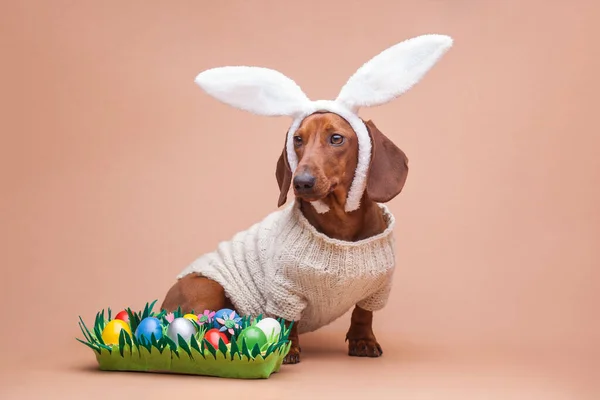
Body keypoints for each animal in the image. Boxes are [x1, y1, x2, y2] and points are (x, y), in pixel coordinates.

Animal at [161, 111, 408, 364]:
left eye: (336, 138)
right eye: (298, 139)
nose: (301, 182)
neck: (341, 224)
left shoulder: (378, 287)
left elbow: (363, 313)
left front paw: (363, 340)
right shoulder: (285, 289)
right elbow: (287, 321)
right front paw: (287, 348)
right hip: (207, 287)